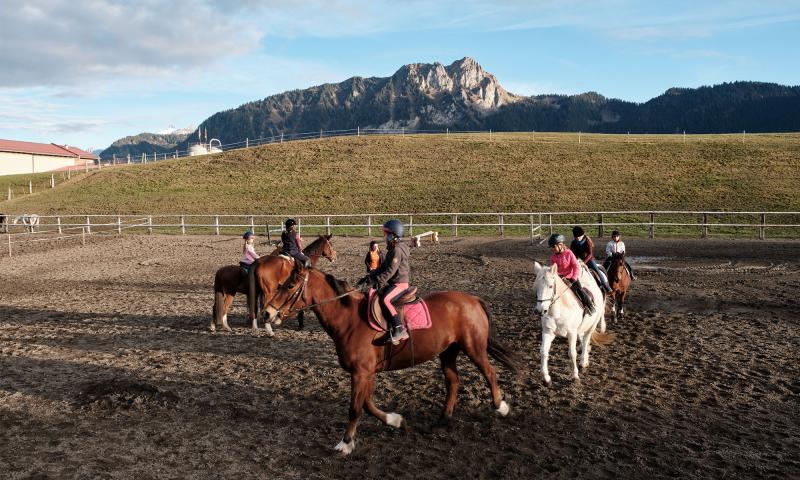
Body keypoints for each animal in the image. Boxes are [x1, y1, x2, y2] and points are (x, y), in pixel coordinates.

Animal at [208, 233, 336, 334]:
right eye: (330, 244)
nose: (334, 256)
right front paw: (299, 325)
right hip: (246, 292)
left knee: (216, 307)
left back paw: (214, 327)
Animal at [253, 264, 520, 456]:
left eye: (290, 285)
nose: (267, 313)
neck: (349, 319)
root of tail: (473, 300)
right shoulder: (366, 372)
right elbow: (367, 405)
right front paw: (396, 421)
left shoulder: (361, 372)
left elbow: (355, 407)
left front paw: (345, 443)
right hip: (448, 351)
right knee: (453, 381)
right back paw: (444, 419)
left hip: (473, 347)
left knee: (489, 373)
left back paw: (501, 407)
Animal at [536, 260, 616, 388]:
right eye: (537, 287)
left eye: (550, 286)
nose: (540, 310)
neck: (558, 312)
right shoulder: (548, 332)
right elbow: (543, 352)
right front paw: (546, 378)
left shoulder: (571, 333)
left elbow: (572, 353)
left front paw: (575, 376)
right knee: (583, 340)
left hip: (592, 325)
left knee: (586, 339)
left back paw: (583, 361)